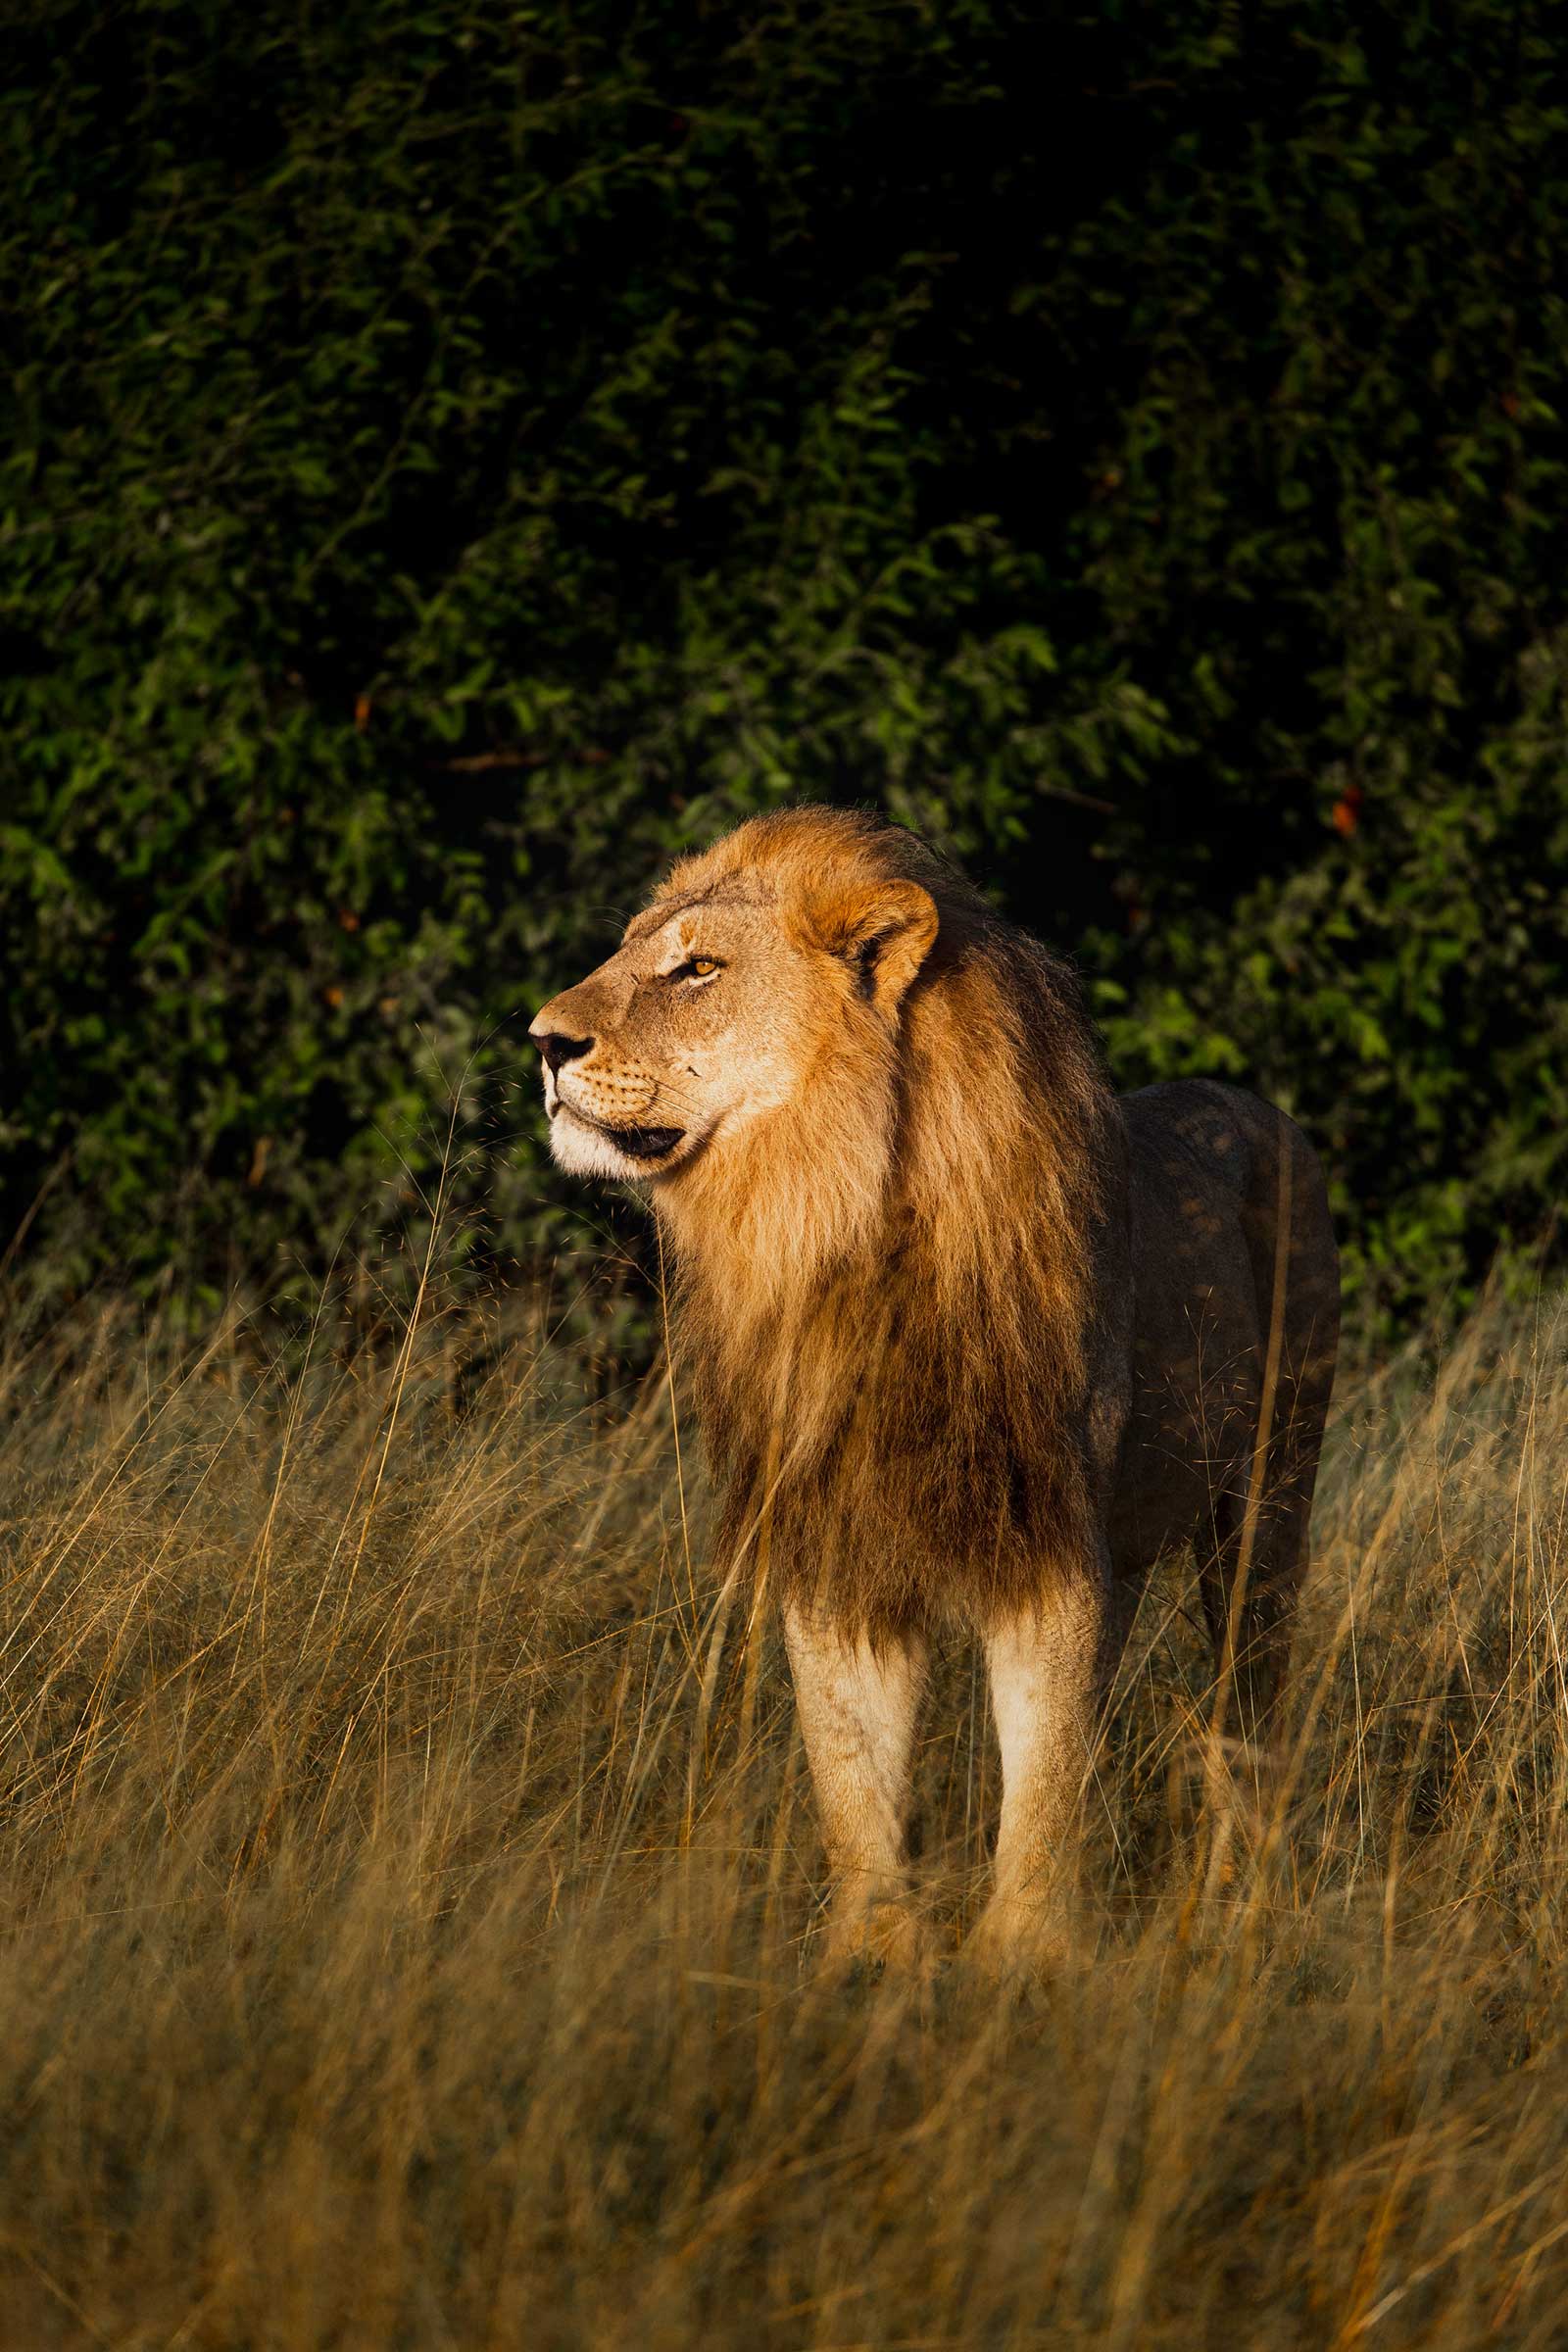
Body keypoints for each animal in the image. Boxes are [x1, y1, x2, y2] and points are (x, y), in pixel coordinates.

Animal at [530, 807, 1339, 1968]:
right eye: (630, 950)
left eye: (698, 969)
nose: (542, 1042)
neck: (838, 1231)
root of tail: (1255, 1102)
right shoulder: (835, 1541)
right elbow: (851, 1773)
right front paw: (872, 1954)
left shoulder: (1053, 1543)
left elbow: (1042, 1773)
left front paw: (1023, 1958)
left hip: (1269, 1503)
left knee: (1249, 1705)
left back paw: (1239, 1905)